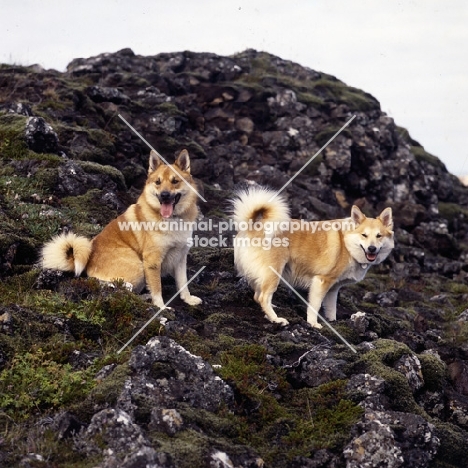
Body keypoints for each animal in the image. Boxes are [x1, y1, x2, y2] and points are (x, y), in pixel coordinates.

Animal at [40, 150, 201, 308]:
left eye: (175, 181)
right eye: (158, 182)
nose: (164, 195)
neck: (173, 219)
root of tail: (88, 260)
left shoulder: (180, 258)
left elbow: (183, 283)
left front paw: (188, 299)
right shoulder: (152, 261)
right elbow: (157, 288)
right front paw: (161, 307)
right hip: (137, 267)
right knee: (110, 284)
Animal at [232, 185, 394, 328]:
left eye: (379, 236)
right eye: (364, 235)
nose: (372, 248)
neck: (347, 244)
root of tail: (252, 226)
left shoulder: (333, 289)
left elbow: (331, 309)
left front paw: (332, 322)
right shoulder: (321, 282)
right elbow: (314, 307)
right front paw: (313, 323)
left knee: (257, 295)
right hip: (274, 273)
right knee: (263, 297)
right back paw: (276, 319)